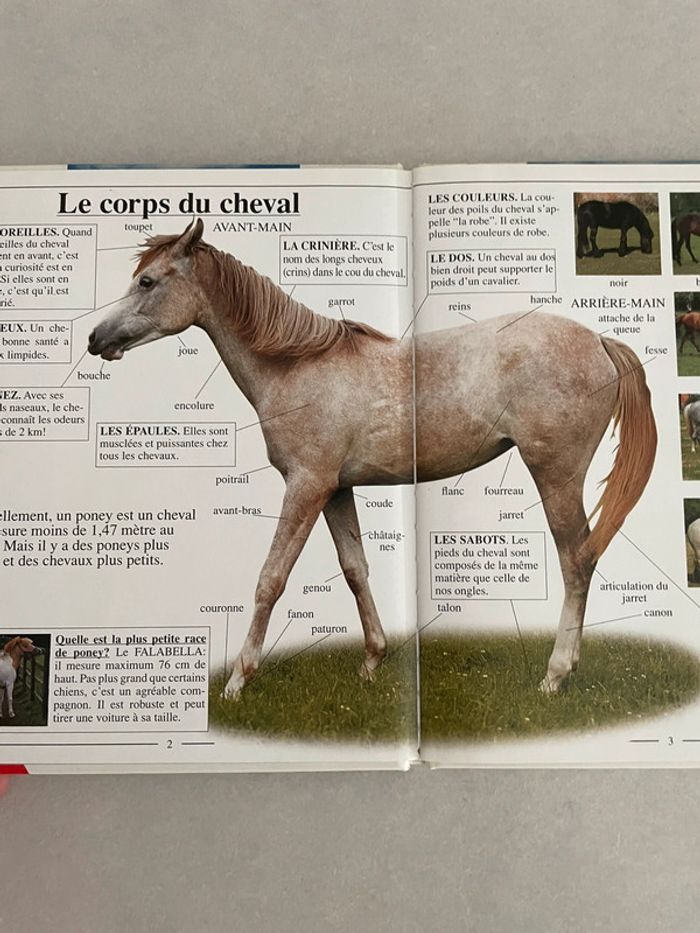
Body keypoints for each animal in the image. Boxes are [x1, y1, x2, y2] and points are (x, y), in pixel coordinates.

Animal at [88, 220, 657, 698]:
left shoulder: (306, 485)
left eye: (147, 282)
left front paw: (237, 682)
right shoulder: (336, 488)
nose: (96, 338)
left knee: (576, 562)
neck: (295, 366)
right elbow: (355, 568)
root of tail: (600, 340)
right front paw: (372, 662)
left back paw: (555, 676)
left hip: (556, 475)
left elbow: (271, 578)